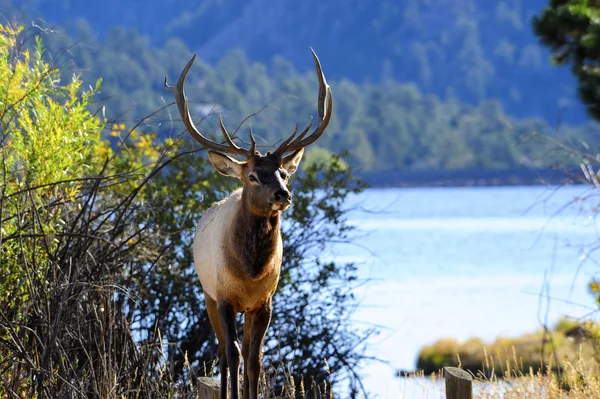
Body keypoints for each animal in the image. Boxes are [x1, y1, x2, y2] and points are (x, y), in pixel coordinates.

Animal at [164, 47, 332, 399]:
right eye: (253, 176)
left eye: (283, 173)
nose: (284, 194)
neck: (250, 272)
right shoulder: (224, 297)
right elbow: (232, 354)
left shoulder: (265, 301)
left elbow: (255, 359)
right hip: (207, 295)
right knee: (222, 351)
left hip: (243, 308)